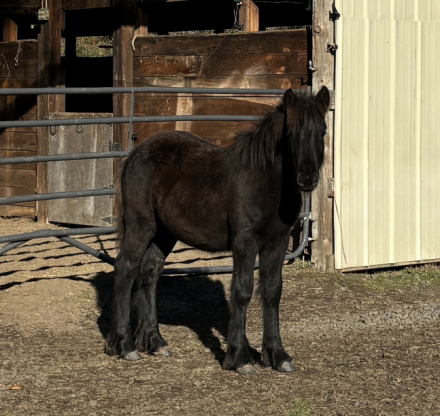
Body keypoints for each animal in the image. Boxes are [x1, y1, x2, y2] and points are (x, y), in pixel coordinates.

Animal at [105, 87, 328, 374]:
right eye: (290, 133)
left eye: (322, 131)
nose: (307, 179)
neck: (265, 182)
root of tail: (136, 153)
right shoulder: (245, 241)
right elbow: (242, 291)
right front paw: (240, 358)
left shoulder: (276, 243)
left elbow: (272, 291)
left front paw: (278, 356)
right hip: (140, 225)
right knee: (125, 269)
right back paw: (125, 346)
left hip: (164, 233)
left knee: (149, 272)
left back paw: (154, 341)